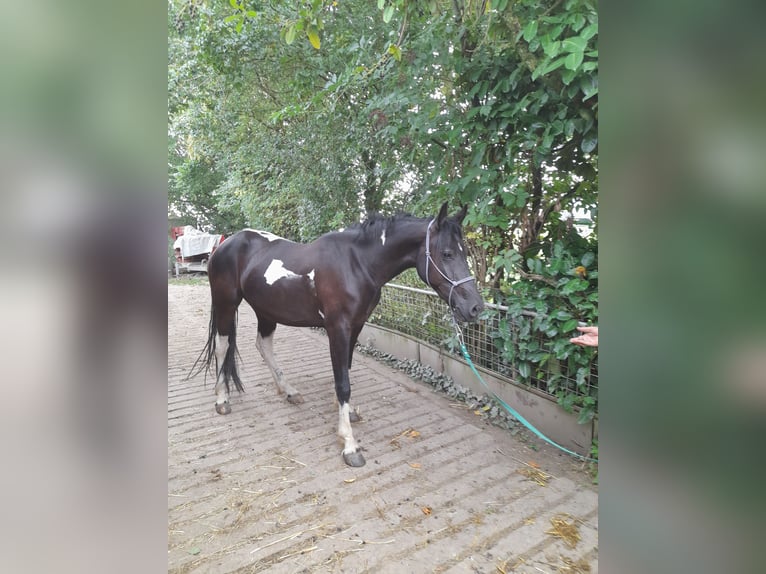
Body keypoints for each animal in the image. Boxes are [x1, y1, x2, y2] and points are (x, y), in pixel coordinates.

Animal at [198, 202, 486, 468]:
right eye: (447, 253)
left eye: (464, 252)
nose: (475, 307)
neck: (357, 264)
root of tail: (224, 245)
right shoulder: (338, 328)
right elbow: (342, 383)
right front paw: (349, 444)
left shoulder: (356, 327)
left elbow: (345, 370)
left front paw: (348, 416)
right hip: (226, 304)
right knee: (223, 345)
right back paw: (222, 399)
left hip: (266, 310)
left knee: (264, 345)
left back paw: (289, 391)